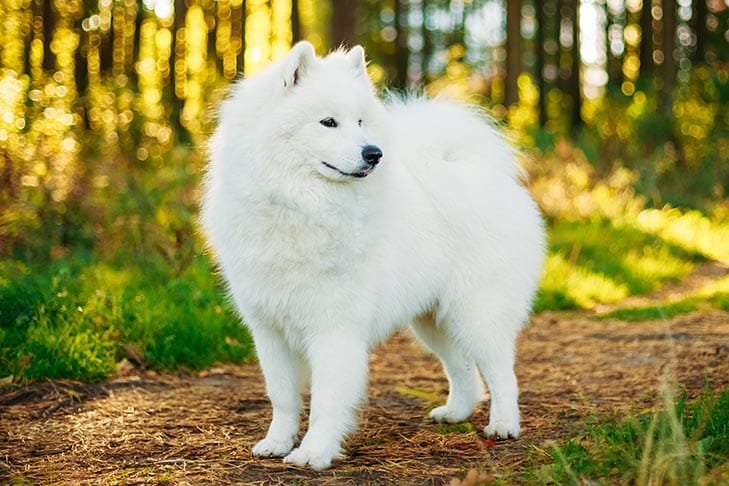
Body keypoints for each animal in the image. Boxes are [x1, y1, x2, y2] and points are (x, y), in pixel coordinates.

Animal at [202, 42, 544, 470]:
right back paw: (455, 413)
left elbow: (326, 401)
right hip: (434, 320)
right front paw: (277, 442)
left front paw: (313, 452)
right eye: (328, 122)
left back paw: (504, 425)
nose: (374, 153)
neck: (299, 202)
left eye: (361, 121)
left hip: (477, 313)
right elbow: (282, 396)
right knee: (464, 371)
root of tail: (484, 175)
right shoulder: (269, 329)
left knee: (502, 374)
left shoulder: (334, 328)